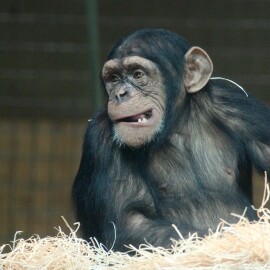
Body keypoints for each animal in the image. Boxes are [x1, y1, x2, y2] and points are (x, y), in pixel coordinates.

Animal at [71, 28, 270, 251]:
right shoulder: (99, 139)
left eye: (138, 74)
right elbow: (126, 224)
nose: (120, 94)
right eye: (113, 78)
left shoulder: (245, 110)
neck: (175, 126)